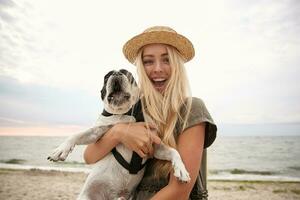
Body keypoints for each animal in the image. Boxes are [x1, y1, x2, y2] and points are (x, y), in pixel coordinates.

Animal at [48, 69, 191, 200]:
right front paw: (60, 150)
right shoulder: (97, 132)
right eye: (106, 77)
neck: (125, 114)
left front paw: (182, 170)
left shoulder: (154, 146)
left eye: (127, 74)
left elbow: (173, 152)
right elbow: (77, 135)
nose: (116, 73)